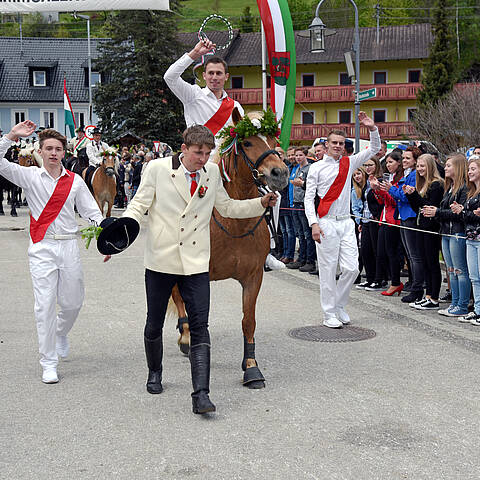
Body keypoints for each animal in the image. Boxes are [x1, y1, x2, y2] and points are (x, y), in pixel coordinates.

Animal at [172, 109, 288, 390]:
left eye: (272, 139)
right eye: (246, 142)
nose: (280, 173)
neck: (235, 220)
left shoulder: (253, 277)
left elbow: (249, 321)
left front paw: (251, 367)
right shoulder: (198, 275)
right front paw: (191, 340)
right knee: (177, 296)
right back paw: (185, 336)